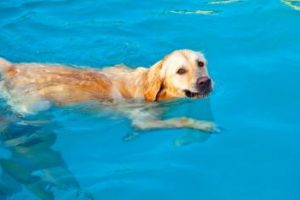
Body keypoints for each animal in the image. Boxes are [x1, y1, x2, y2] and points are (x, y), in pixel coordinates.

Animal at [0, 49, 216, 132]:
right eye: (180, 71)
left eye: (200, 63)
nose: (205, 81)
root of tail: (13, 67)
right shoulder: (143, 122)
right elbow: (180, 120)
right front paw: (204, 125)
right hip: (35, 106)